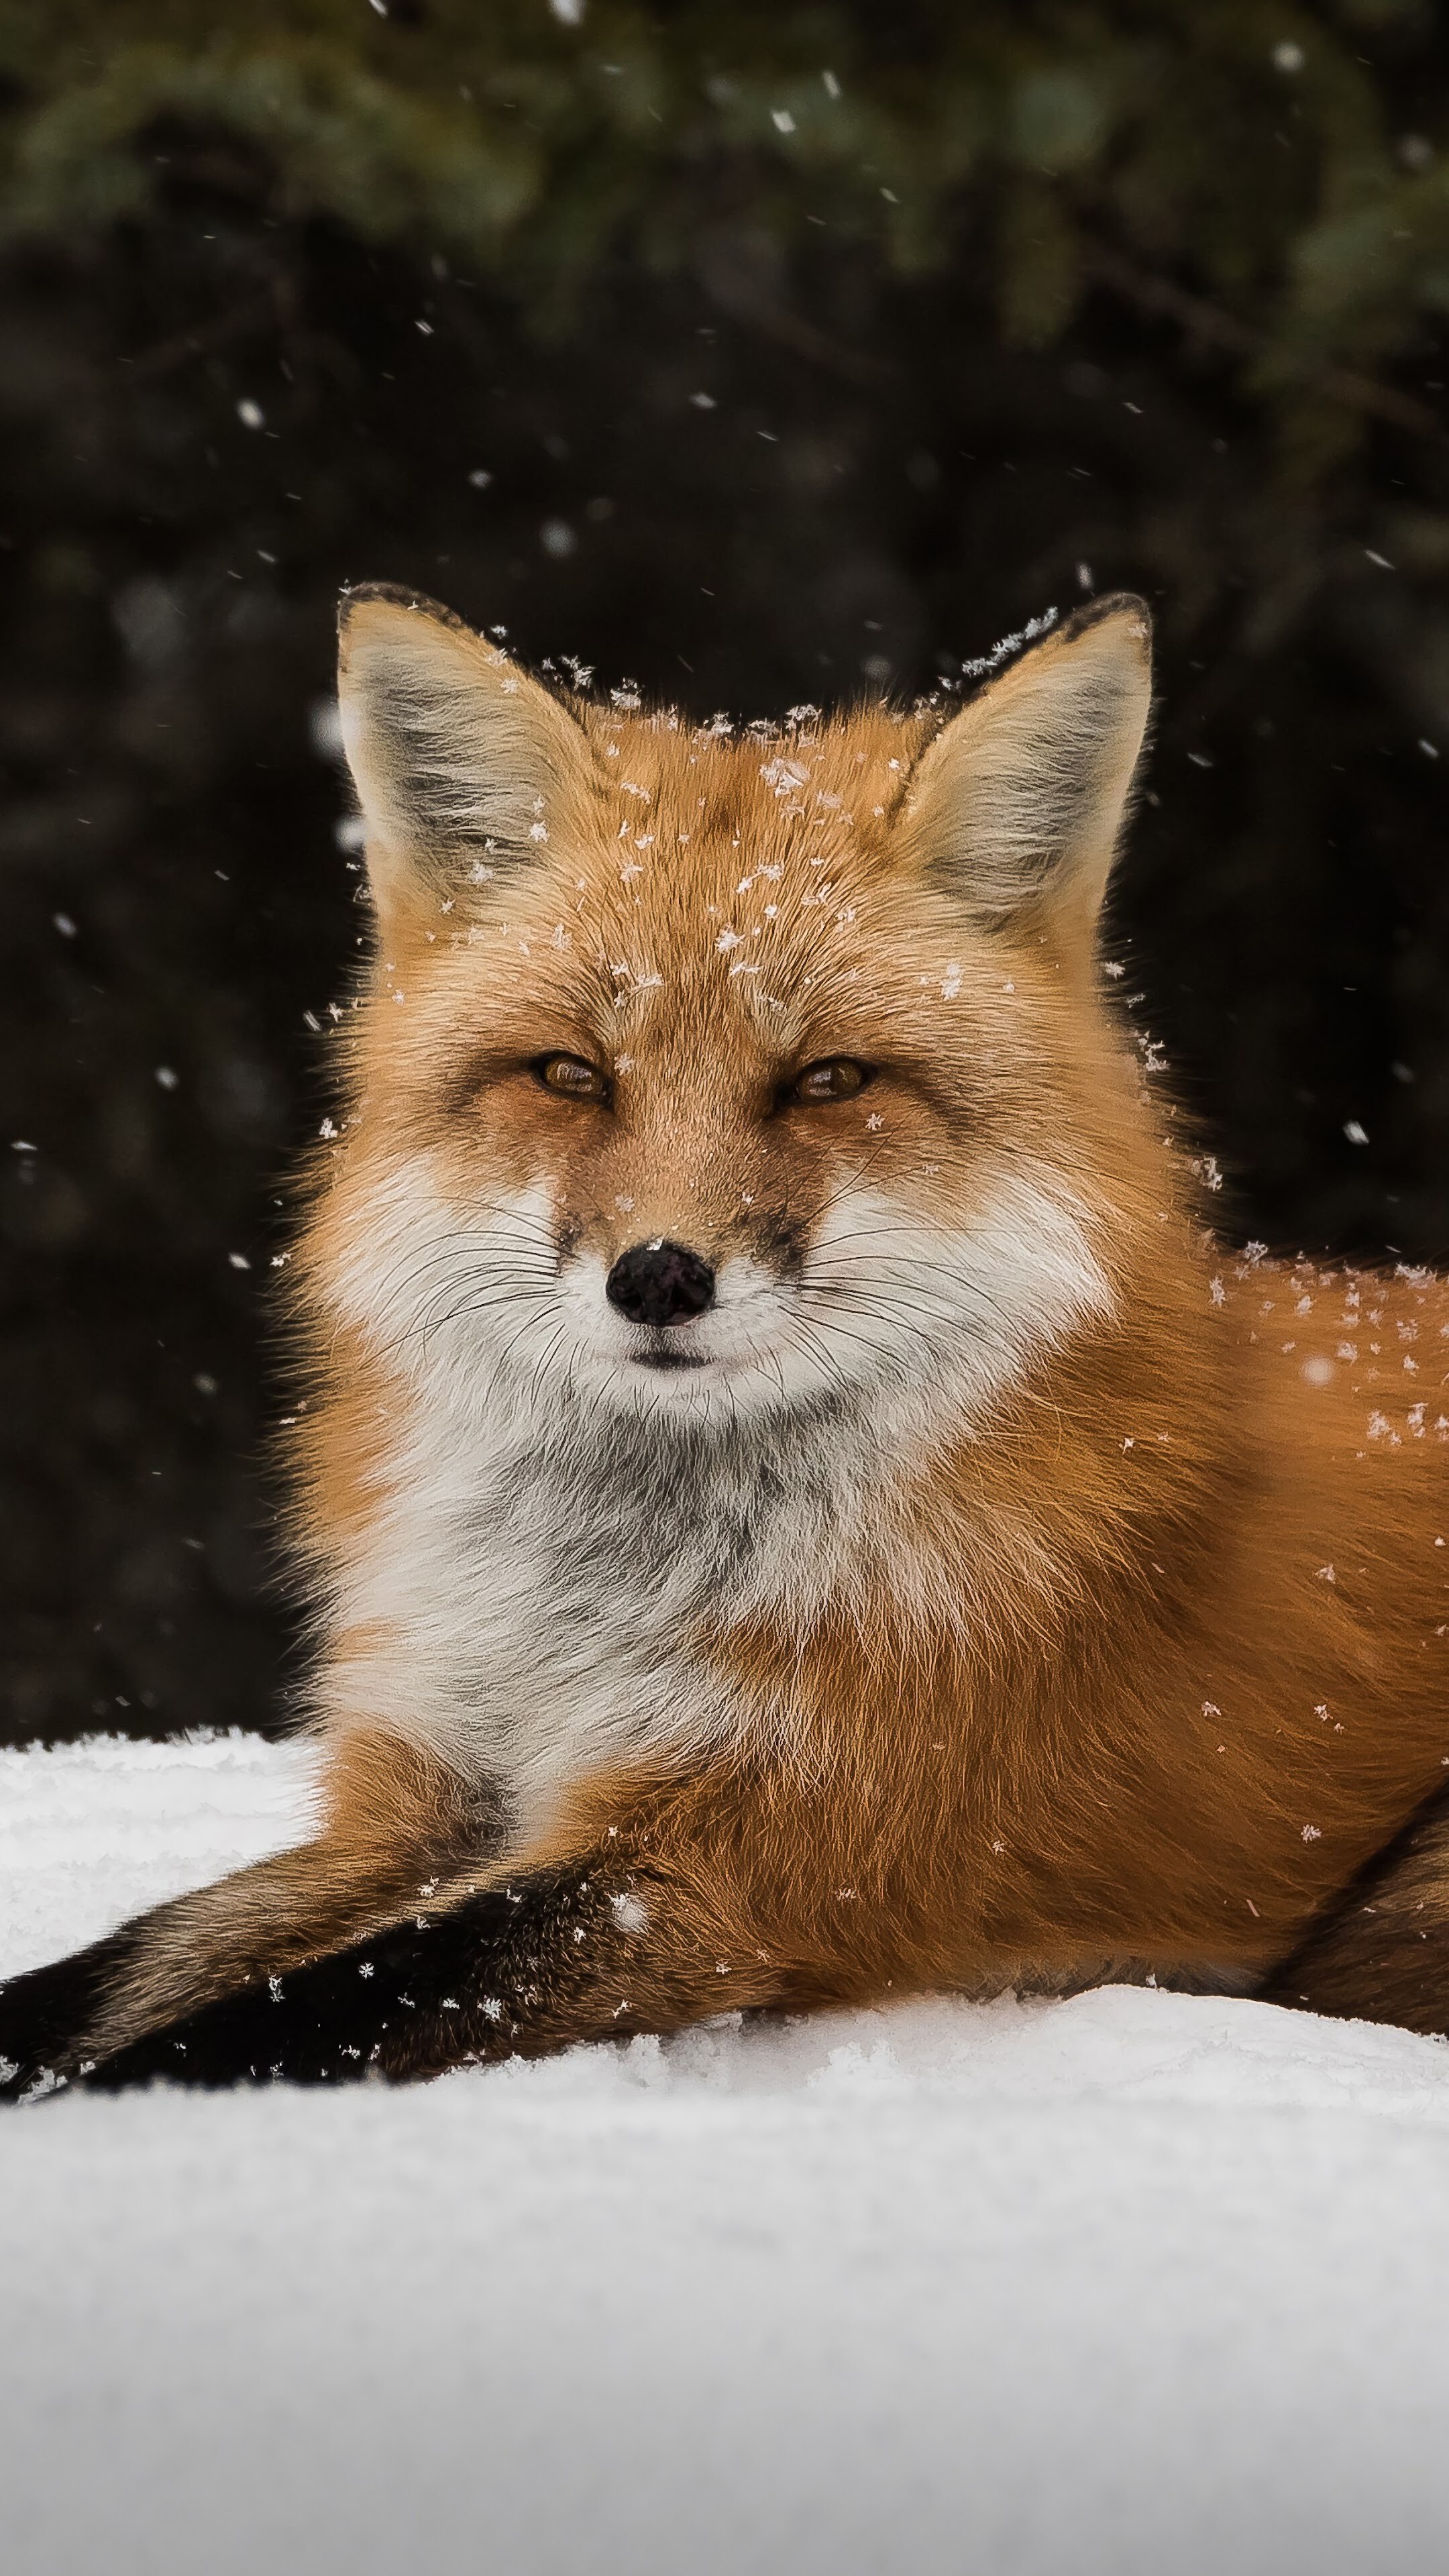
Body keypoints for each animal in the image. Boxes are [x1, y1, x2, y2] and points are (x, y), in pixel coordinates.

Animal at [5, 581, 1449, 2101]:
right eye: (572, 1076)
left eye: (826, 1081)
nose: (657, 1278)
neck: (595, 1604)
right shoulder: (425, 1797)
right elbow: (112, 1974)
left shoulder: (726, 1864)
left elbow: (273, 2021)